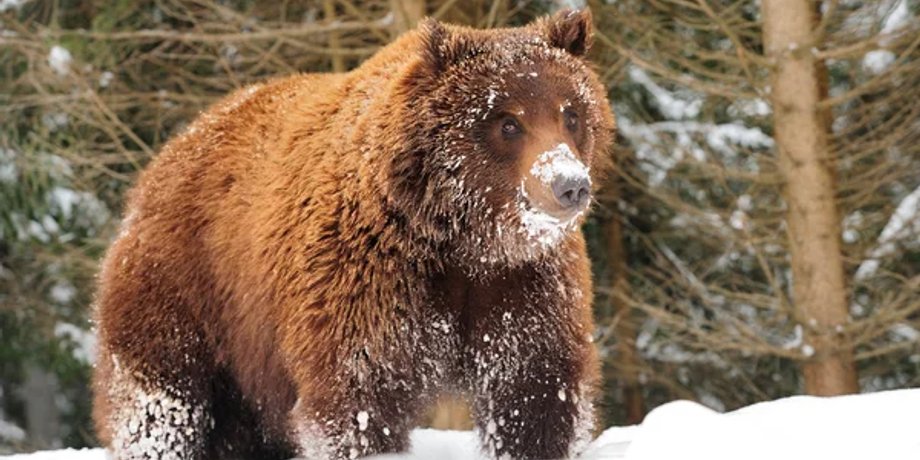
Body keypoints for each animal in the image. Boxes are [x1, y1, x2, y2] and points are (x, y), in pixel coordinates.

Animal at [91, 8, 614, 460]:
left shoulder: (520, 289)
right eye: (507, 121)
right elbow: (358, 401)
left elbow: (536, 395)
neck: (463, 239)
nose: (568, 184)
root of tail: (173, 149)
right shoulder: (367, 283)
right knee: (161, 407)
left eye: (571, 113)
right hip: (186, 293)